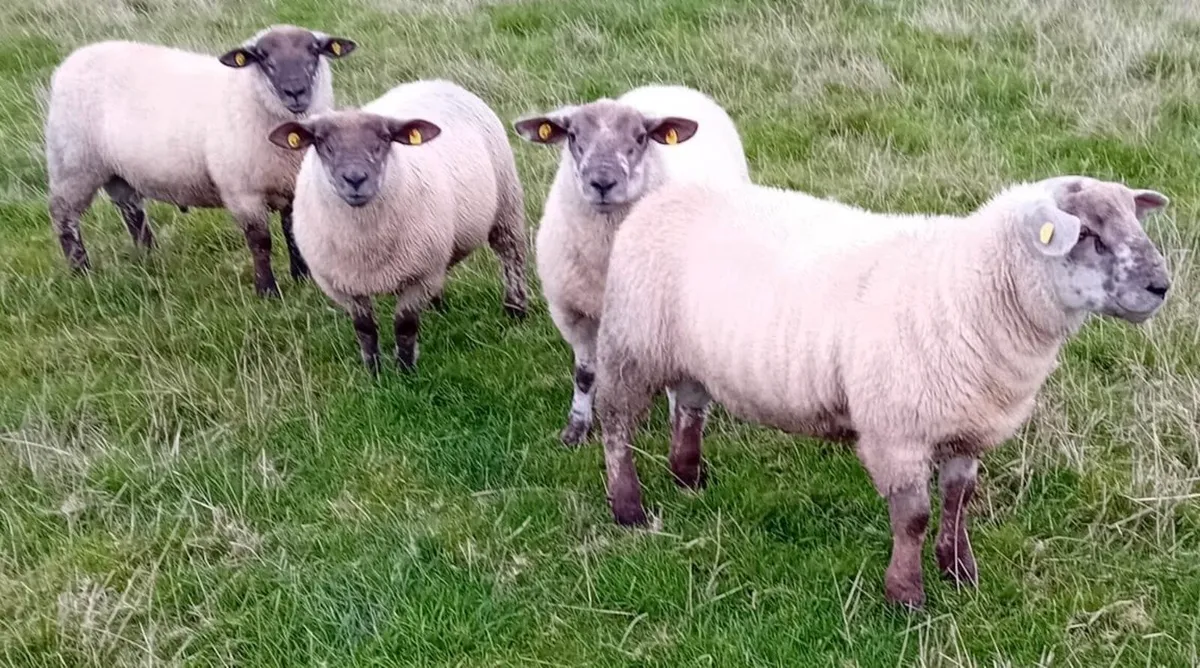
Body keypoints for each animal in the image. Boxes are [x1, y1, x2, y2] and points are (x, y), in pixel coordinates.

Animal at [44, 25, 357, 297]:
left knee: (132, 212)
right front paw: (267, 291)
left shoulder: (289, 185)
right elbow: (260, 242)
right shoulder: (241, 193)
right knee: (63, 215)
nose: (295, 92)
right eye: (263, 57)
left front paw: (302, 279)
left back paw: (150, 257)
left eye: (314, 51)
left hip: (115, 171)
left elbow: (292, 234)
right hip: (73, 165)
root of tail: (71, 61)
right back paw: (80, 270)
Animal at [268, 79, 529, 374]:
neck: (365, 245)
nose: (355, 179)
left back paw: (515, 309)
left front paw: (406, 371)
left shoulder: (418, 276)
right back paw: (438, 306)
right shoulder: (343, 284)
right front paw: (374, 371)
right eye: (322, 143)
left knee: (511, 254)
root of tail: (435, 81)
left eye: (384, 139)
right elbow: (365, 328)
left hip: (506, 203)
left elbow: (405, 326)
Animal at [513, 84, 750, 447]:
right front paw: (576, 429)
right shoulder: (572, 313)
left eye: (640, 137)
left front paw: (677, 426)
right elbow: (585, 375)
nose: (602, 182)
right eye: (572, 135)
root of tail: (667, 85)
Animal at [592, 175, 1172, 609]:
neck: (972, 289)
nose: (1161, 287)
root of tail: (663, 193)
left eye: (1131, 222)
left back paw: (688, 477)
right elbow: (912, 518)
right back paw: (628, 507)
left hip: (689, 353)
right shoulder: (898, 431)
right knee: (615, 422)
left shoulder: (967, 428)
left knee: (689, 406)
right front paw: (906, 595)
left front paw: (959, 570)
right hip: (631, 343)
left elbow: (959, 500)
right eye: (1089, 233)